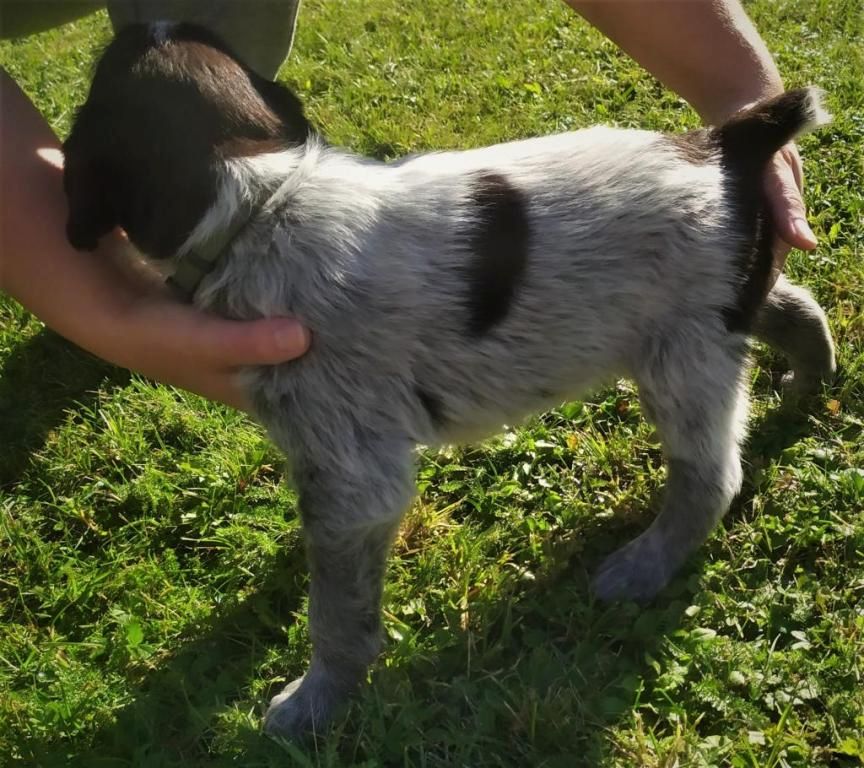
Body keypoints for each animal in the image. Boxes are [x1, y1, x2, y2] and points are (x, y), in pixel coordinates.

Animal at [62, 23, 835, 740]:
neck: (261, 200)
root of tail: (724, 143)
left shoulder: (352, 472)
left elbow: (337, 609)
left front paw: (317, 699)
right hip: (718, 306)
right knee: (796, 307)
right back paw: (811, 383)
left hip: (681, 355)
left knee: (710, 476)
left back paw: (642, 565)